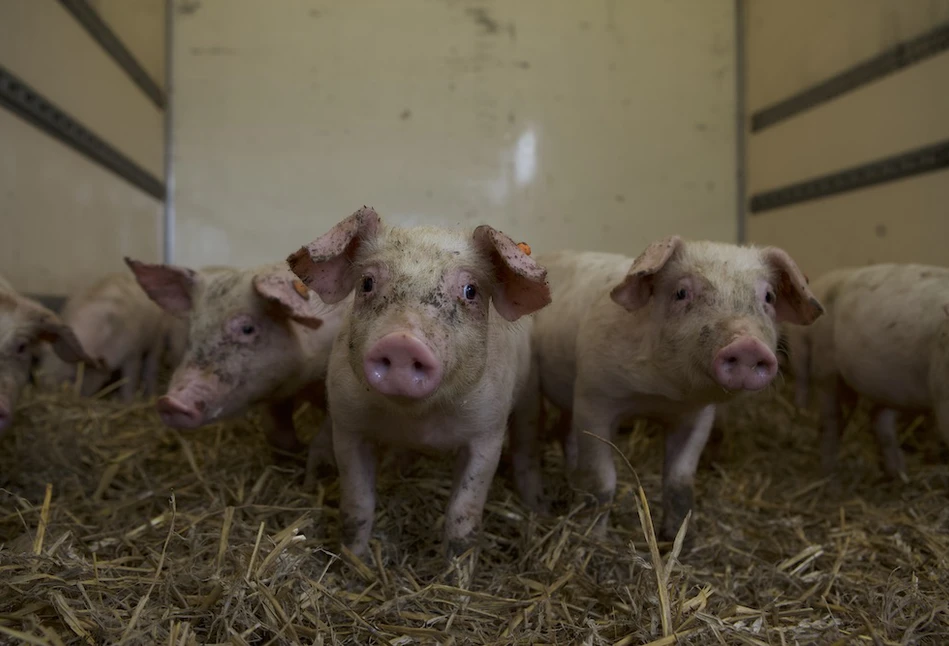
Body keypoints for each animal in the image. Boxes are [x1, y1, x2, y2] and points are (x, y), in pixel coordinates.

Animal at [286, 209, 548, 560]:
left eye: (470, 291)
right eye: (367, 283)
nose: (402, 342)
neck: (418, 421)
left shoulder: (487, 431)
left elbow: (463, 514)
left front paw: (456, 569)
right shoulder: (348, 424)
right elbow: (357, 505)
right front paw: (354, 561)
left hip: (530, 390)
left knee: (526, 445)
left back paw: (537, 505)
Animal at [528, 238, 820, 540]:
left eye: (769, 297)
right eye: (681, 293)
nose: (747, 345)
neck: (658, 395)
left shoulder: (698, 416)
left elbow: (679, 480)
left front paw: (680, 540)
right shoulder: (593, 396)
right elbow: (602, 477)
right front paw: (594, 538)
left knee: (565, 431)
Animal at [784, 264, 948, 480]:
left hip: (891, 387)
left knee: (878, 419)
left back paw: (898, 474)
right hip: (825, 363)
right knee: (830, 418)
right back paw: (829, 473)